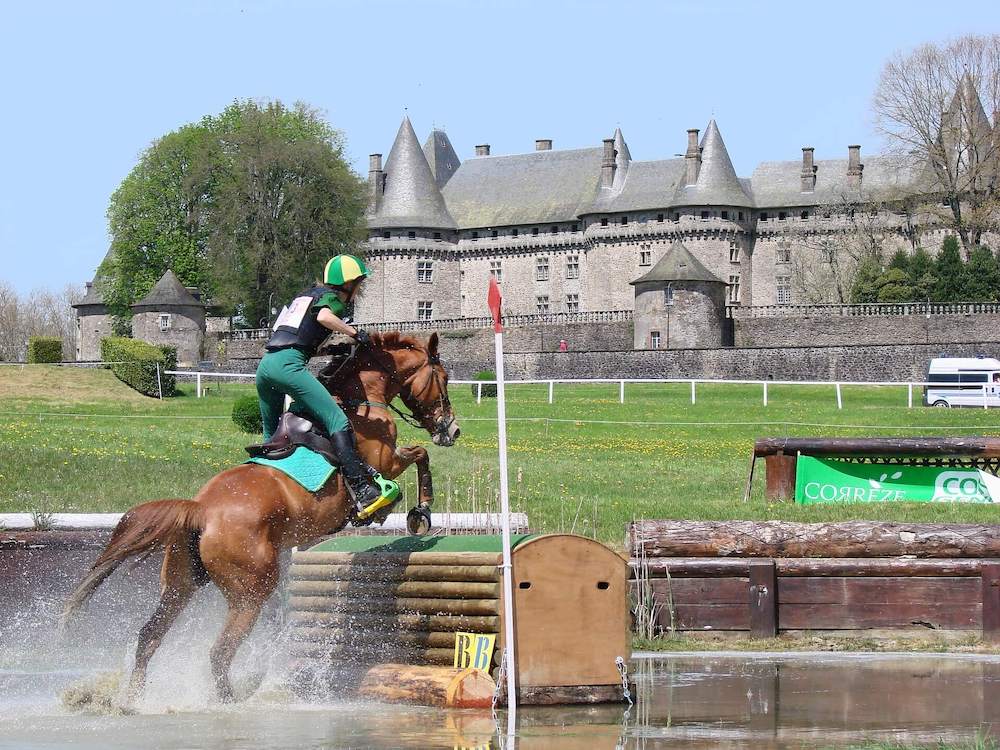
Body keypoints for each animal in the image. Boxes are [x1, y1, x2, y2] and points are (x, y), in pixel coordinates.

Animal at [64, 332, 462, 708]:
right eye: (442, 377)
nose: (452, 429)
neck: (361, 400)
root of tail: (201, 510)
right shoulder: (385, 461)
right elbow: (419, 456)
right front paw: (420, 513)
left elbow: (419, 455)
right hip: (250, 593)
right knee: (219, 652)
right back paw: (231, 702)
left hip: (181, 584)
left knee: (149, 637)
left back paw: (131, 701)